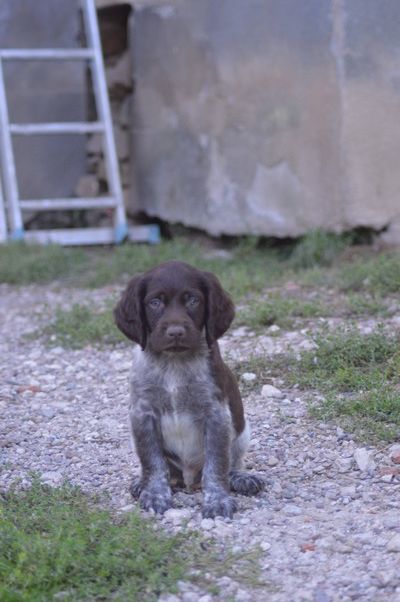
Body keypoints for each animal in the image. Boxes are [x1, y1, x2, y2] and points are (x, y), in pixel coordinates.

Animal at [113, 258, 262, 516]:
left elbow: (216, 465)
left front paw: (217, 500)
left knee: (231, 463)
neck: (174, 363)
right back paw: (143, 483)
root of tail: (189, 481)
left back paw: (240, 478)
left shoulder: (216, 413)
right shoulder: (142, 413)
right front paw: (154, 493)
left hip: (243, 432)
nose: (176, 332)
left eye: (193, 300)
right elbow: (152, 461)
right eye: (155, 302)